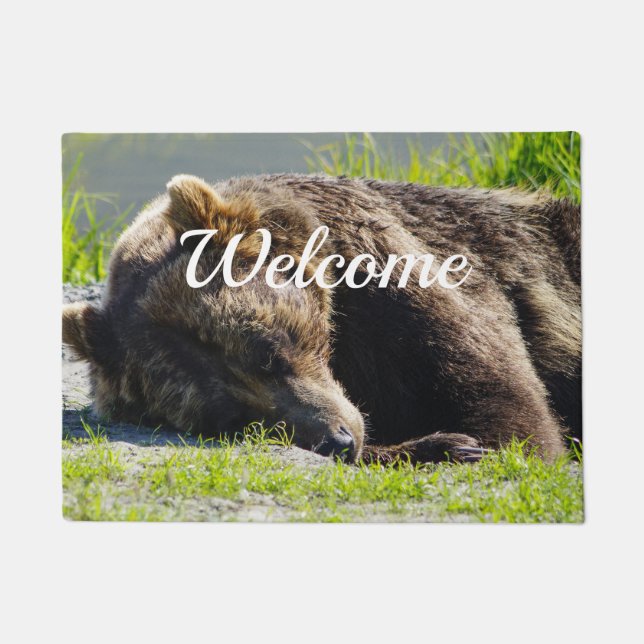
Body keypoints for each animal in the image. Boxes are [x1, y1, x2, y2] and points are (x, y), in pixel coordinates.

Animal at [62, 173, 581, 464]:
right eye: (232, 417)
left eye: (268, 351)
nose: (339, 440)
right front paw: (441, 443)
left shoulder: (408, 278)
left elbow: (512, 417)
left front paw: (463, 442)